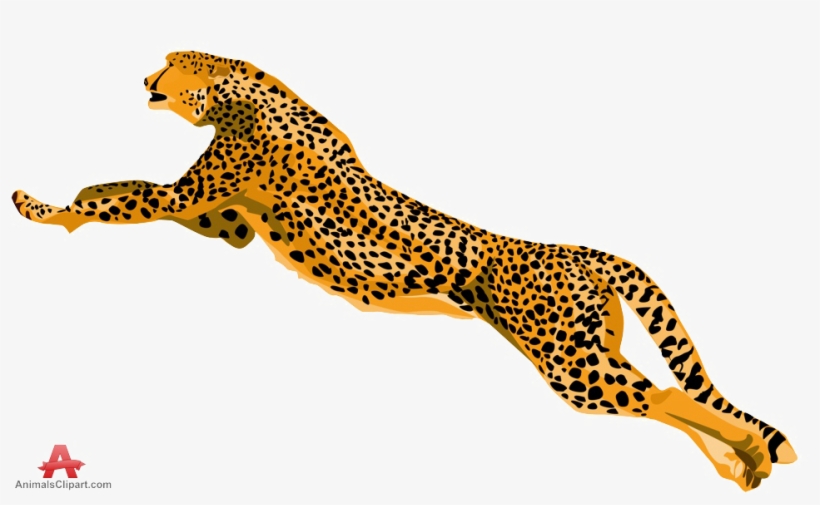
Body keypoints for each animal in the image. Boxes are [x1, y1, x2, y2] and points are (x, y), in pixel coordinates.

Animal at [11, 50, 797, 491]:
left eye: (173, 63)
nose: (145, 77)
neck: (239, 92)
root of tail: (579, 250)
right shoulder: (225, 222)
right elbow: (119, 186)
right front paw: (81, 191)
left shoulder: (194, 200)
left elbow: (124, 200)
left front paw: (41, 206)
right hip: (589, 353)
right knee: (666, 397)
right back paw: (743, 463)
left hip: (570, 364)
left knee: (668, 395)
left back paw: (750, 451)